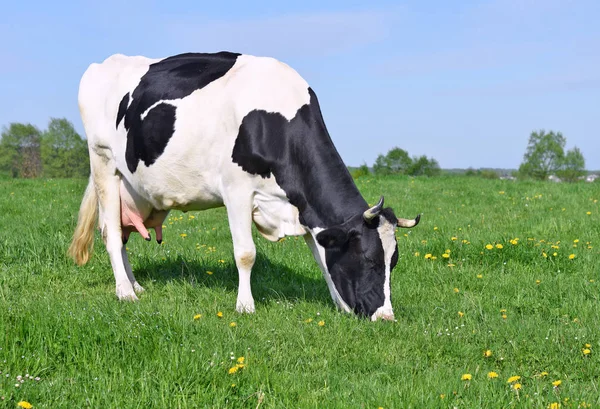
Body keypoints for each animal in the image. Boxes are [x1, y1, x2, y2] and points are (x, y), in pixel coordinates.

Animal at [68, 50, 420, 318]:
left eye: (394, 262)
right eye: (369, 259)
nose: (385, 317)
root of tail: (105, 63)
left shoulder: (305, 209)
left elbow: (322, 258)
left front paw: (337, 304)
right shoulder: (236, 189)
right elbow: (246, 253)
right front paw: (245, 306)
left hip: (132, 187)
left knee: (123, 233)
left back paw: (135, 284)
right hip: (103, 162)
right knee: (111, 233)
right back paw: (125, 293)